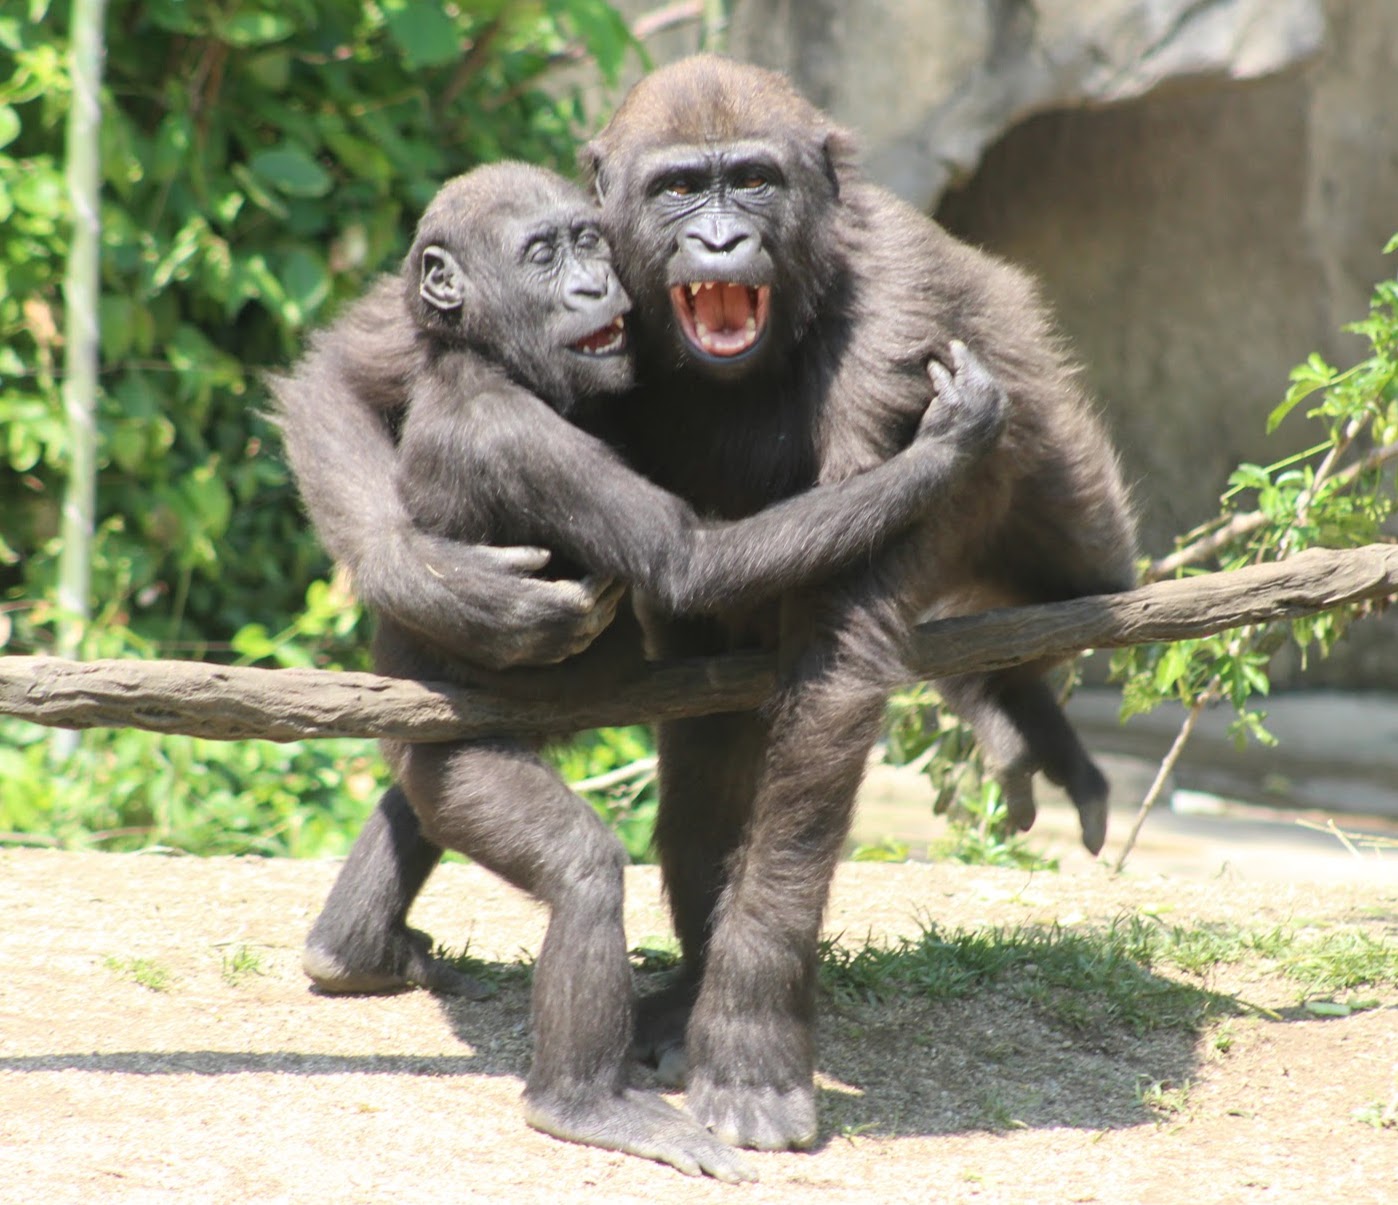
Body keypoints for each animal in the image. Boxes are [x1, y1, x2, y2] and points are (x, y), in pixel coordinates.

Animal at [275, 161, 1009, 1178]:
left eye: (591, 240)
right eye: (543, 254)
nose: (595, 285)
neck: (492, 360)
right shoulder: (518, 438)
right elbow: (687, 557)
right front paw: (947, 442)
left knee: (417, 808)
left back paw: (352, 951)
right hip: (457, 761)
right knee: (576, 867)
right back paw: (582, 1101)